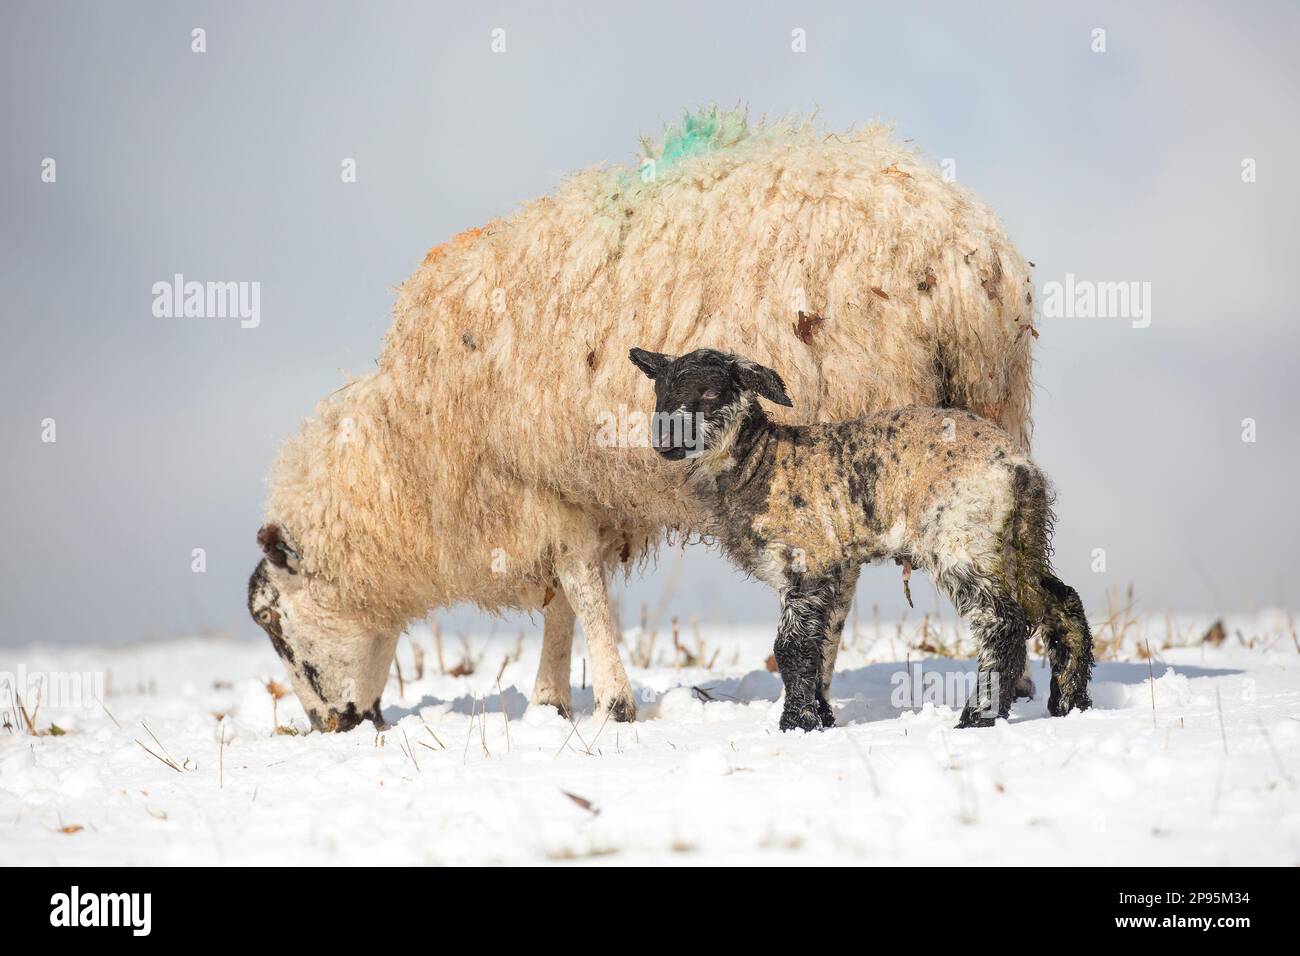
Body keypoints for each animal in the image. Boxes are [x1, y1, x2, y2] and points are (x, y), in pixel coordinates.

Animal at [245, 106, 1034, 733]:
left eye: (274, 625)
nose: (332, 727)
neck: (408, 453)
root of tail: (966, 254)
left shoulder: (537, 486)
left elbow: (579, 590)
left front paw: (607, 704)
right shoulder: (573, 491)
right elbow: (564, 600)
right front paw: (551, 701)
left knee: (835, 588)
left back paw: (817, 695)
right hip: (979, 423)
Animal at [624, 348, 1092, 728]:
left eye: (709, 393)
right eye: (659, 393)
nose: (663, 441)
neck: (763, 463)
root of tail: (1016, 467)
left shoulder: (807, 560)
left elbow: (791, 647)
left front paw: (796, 724)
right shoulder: (833, 568)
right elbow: (821, 645)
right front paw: (821, 718)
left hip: (960, 538)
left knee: (1002, 624)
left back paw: (977, 716)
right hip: (1017, 540)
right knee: (1062, 603)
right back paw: (1070, 701)